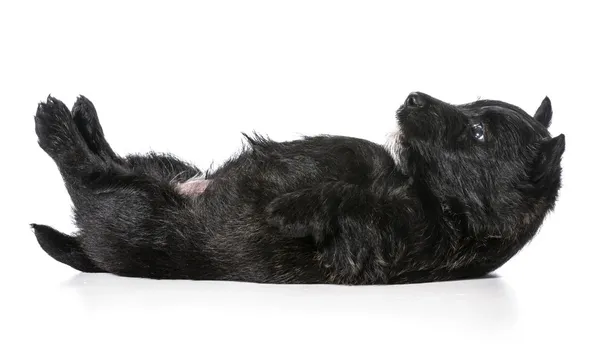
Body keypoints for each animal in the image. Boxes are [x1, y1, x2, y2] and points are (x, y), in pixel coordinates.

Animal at [31, 92, 568, 286]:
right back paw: (85, 119)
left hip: (139, 209)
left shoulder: (382, 235)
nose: (413, 96)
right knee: (114, 161)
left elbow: (343, 199)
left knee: (90, 177)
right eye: (471, 103)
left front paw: (286, 209)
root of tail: (90, 253)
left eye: (478, 132)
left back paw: (58, 127)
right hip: (168, 167)